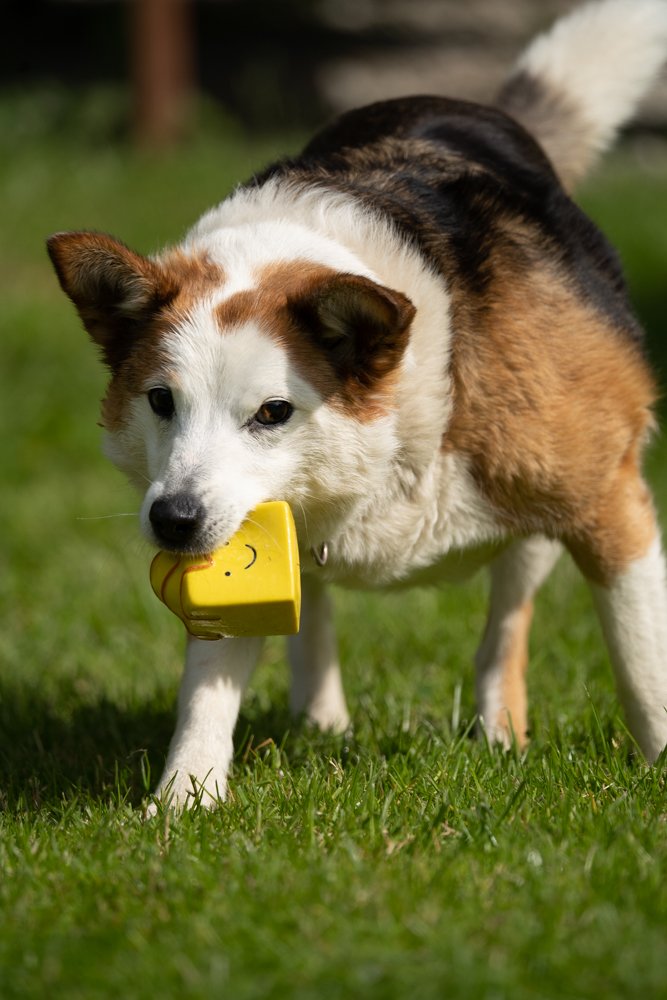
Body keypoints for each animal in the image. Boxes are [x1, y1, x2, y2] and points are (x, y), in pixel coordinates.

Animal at [47, 0, 667, 808]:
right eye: (159, 400)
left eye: (273, 412)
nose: (173, 521)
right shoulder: (239, 539)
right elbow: (210, 683)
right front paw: (183, 799)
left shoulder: (608, 501)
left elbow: (642, 662)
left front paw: (659, 767)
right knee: (314, 603)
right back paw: (319, 719)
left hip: (540, 510)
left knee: (505, 621)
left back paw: (498, 731)